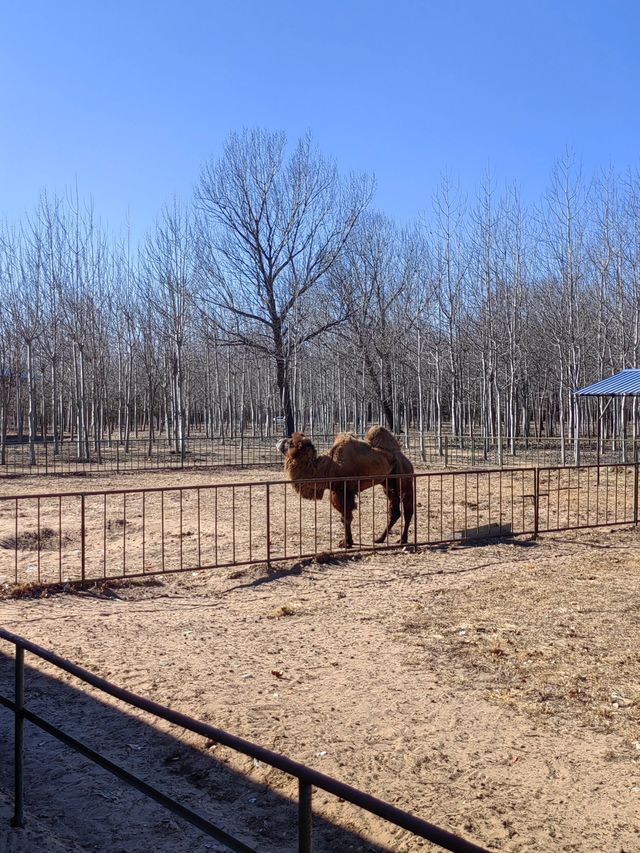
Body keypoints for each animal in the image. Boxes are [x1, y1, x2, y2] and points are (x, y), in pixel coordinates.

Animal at [276, 424, 416, 544]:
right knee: (395, 512)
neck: (328, 467)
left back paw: (402, 539)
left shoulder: (343, 491)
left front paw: (346, 543)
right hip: (388, 484)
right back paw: (379, 539)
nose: (279, 441)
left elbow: (346, 517)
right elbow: (344, 517)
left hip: (405, 480)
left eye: (289, 443)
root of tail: (406, 460)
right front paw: (348, 541)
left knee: (408, 510)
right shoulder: (336, 491)